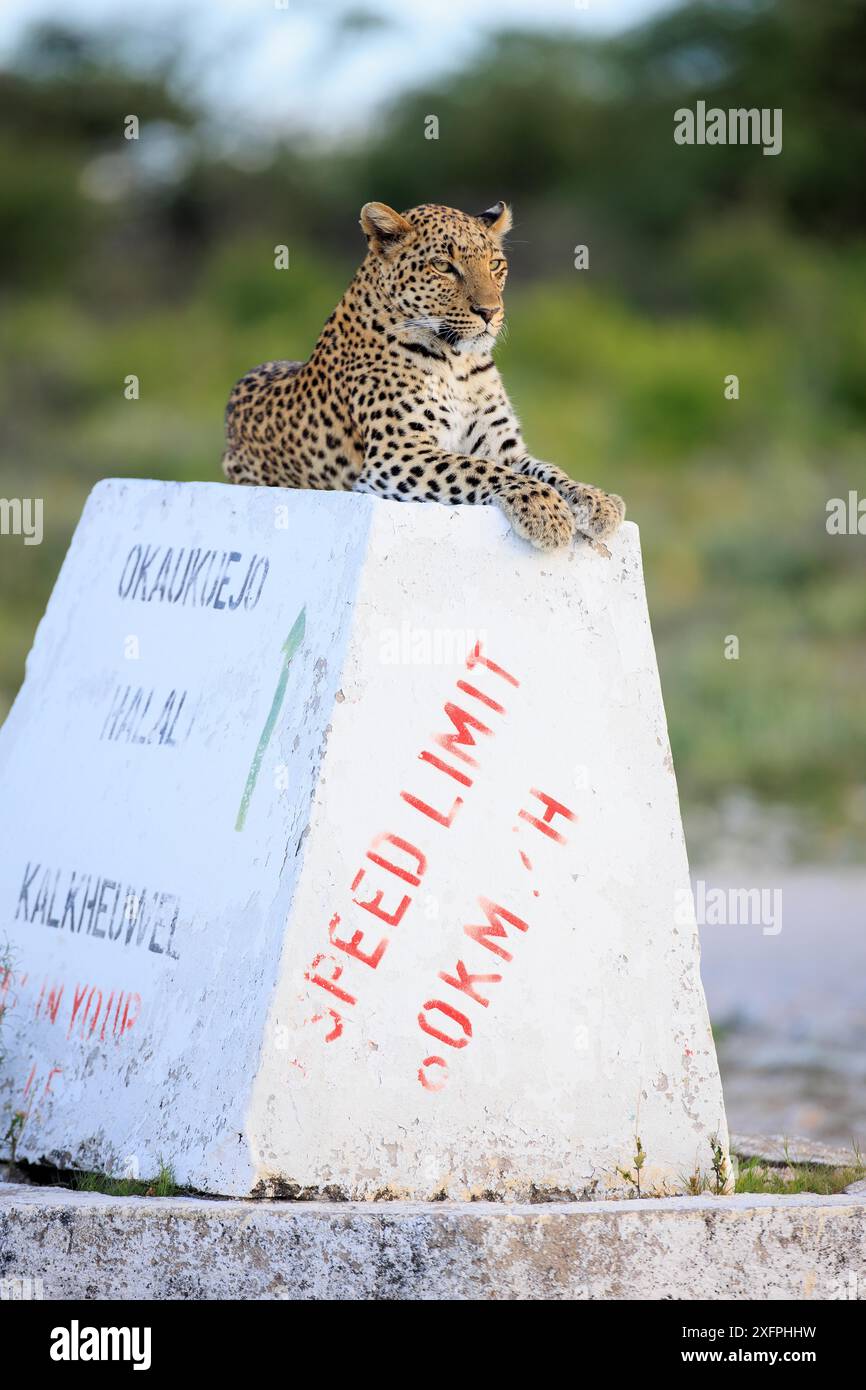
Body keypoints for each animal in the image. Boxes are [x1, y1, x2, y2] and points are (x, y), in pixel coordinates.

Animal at [219, 201, 625, 547]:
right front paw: (547, 511)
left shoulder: (503, 447)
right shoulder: (396, 453)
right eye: (443, 266)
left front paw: (597, 500)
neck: (459, 363)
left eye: (495, 264)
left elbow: (549, 470)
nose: (490, 311)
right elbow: (480, 469)